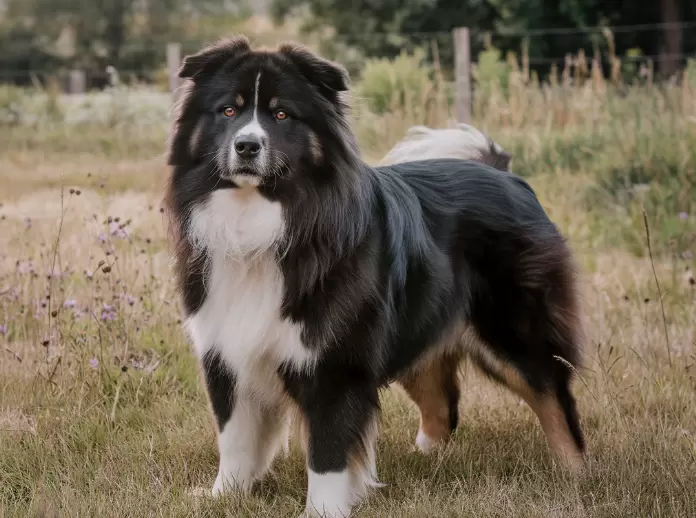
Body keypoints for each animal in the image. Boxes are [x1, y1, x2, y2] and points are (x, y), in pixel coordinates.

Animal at [166, 37, 584, 518]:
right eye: (228, 111)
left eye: (282, 114)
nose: (247, 146)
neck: (266, 221)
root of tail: (505, 174)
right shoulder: (227, 351)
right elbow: (234, 438)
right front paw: (224, 496)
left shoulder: (335, 360)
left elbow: (328, 451)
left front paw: (323, 511)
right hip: (412, 327)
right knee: (443, 405)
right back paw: (427, 461)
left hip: (512, 330)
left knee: (553, 396)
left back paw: (575, 475)